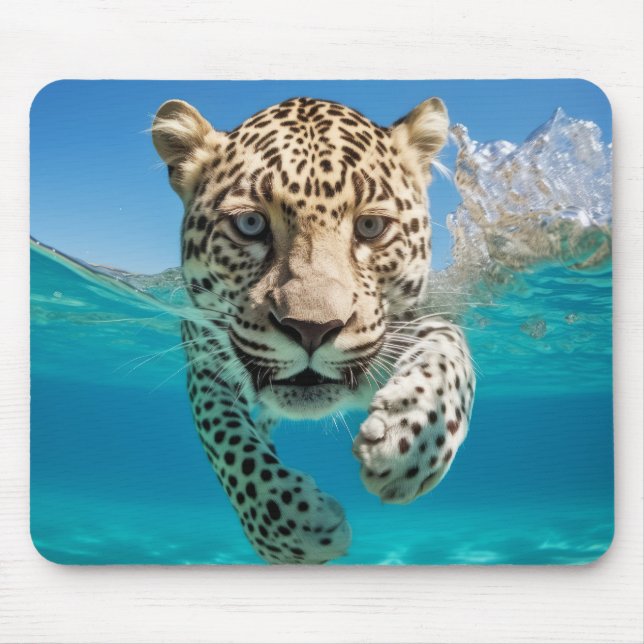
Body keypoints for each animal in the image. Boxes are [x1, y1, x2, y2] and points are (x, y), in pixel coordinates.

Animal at [151, 95, 475, 564]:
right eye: (250, 225)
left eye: (370, 227)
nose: (310, 329)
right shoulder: (204, 361)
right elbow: (227, 442)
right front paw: (294, 528)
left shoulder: (419, 319)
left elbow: (450, 350)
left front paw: (409, 439)